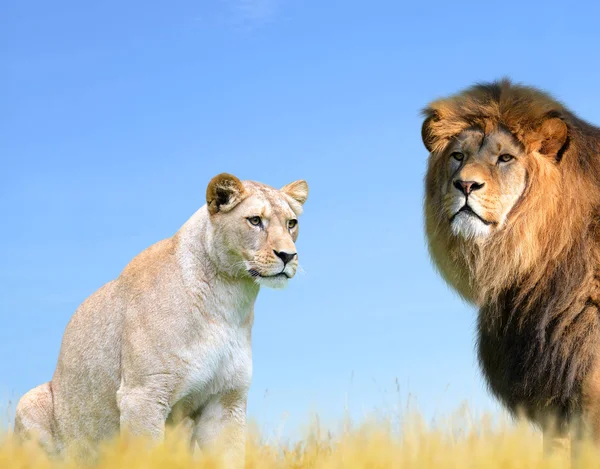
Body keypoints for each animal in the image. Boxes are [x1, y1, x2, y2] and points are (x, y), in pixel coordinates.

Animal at [14, 173, 310, 464]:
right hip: (30, 401)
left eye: (291, 223)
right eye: (255, 220)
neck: (228, 299)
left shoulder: (226, 400)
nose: (288, 255)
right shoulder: (143, 395)